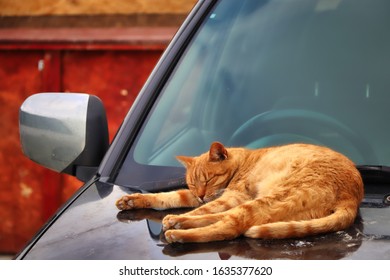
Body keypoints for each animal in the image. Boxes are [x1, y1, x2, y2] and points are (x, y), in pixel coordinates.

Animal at [115, 142, 362, 243]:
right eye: (193, 184)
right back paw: (178, 224)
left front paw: (180, 217)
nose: (201, 194)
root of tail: (352, 196)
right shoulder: (197, 196)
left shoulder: (233, 195)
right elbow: (167, 197)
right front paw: (132, 200)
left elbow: (202, 208)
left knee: (229, 226)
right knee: (226, 218)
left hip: (269, 198)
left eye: (209, 179)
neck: (243, 161)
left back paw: (179, 230)